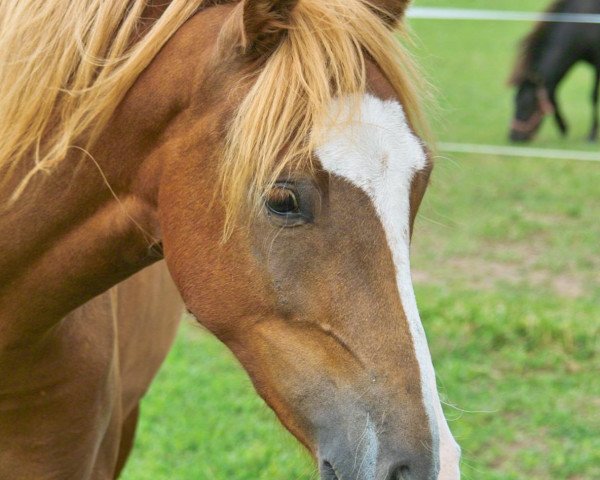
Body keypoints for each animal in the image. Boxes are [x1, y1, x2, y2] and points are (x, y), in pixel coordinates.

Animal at [508, 0, 600, 142]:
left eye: (527, 104)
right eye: (515, 101)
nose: (513, 137)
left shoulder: (597, 64)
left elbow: (593, 97)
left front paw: (592, 135)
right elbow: (553, 95)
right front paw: (563, 128)